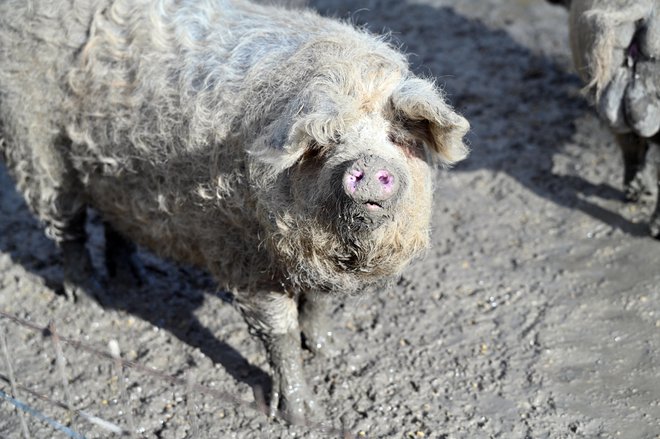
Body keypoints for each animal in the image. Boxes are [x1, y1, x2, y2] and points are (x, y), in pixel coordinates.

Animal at [1, 0, 470, 424]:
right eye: (326, 142)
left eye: (397, 137)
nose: (369, 166)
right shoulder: (243, 257)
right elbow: (278, 333)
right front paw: (303, 417)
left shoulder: (315, 258)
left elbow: (317, 305)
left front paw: (333, 351)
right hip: (37, 153)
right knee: (68, 229)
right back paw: (89, 298)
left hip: (113, 172)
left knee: (115, 223)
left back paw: (133, 280)